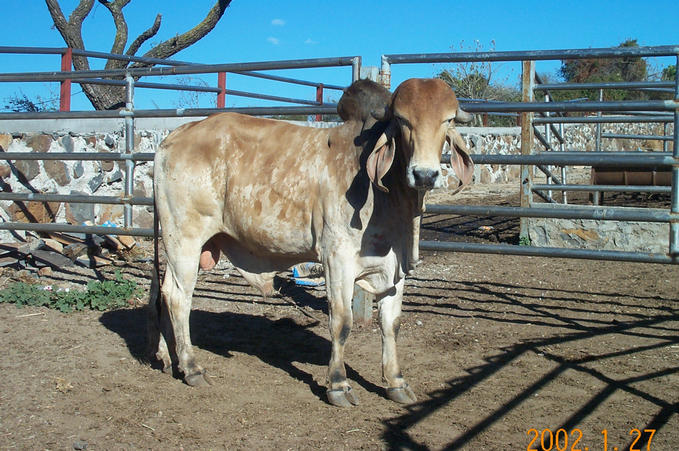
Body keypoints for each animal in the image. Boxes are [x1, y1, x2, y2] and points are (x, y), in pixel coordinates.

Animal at [151, 77, 476, 410]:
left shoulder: (394, 267)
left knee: (163, 292)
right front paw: (338, 385)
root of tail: (174, 136)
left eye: (448, 120)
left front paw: (396, 382)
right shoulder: (337, 258)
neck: (391, 200)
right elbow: (342, 322)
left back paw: (168, 357)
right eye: (402, 120)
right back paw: (191, 367)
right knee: (178, 298)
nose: (424, 174)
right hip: (185, 240)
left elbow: (391, 324)